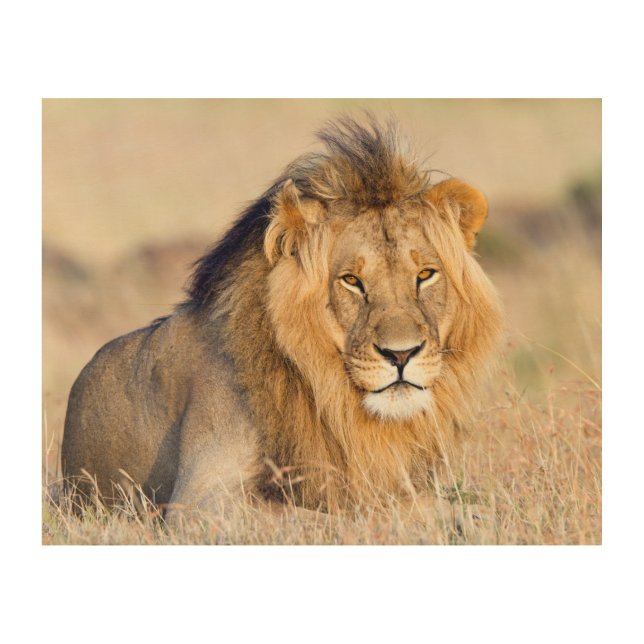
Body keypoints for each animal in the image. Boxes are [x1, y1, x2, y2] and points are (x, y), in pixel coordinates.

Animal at [61, 117, 503, 518]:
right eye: (351, 280)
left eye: (425, 275)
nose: (401, 355)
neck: (330, 396)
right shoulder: (201, 502)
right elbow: (343, 514)